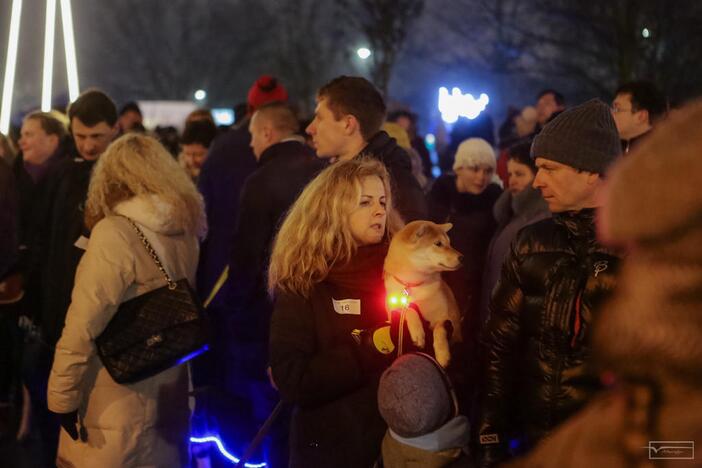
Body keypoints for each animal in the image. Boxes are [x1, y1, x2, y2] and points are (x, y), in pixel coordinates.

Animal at [384, 221, 462, 368]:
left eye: (449, 243)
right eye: (438, 243)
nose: (462, 257)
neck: (413, 284)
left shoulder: (442, 316)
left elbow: (440, 329)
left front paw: (443, 353)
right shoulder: (393, 306)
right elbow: (409, 309)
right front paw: (418, 332)